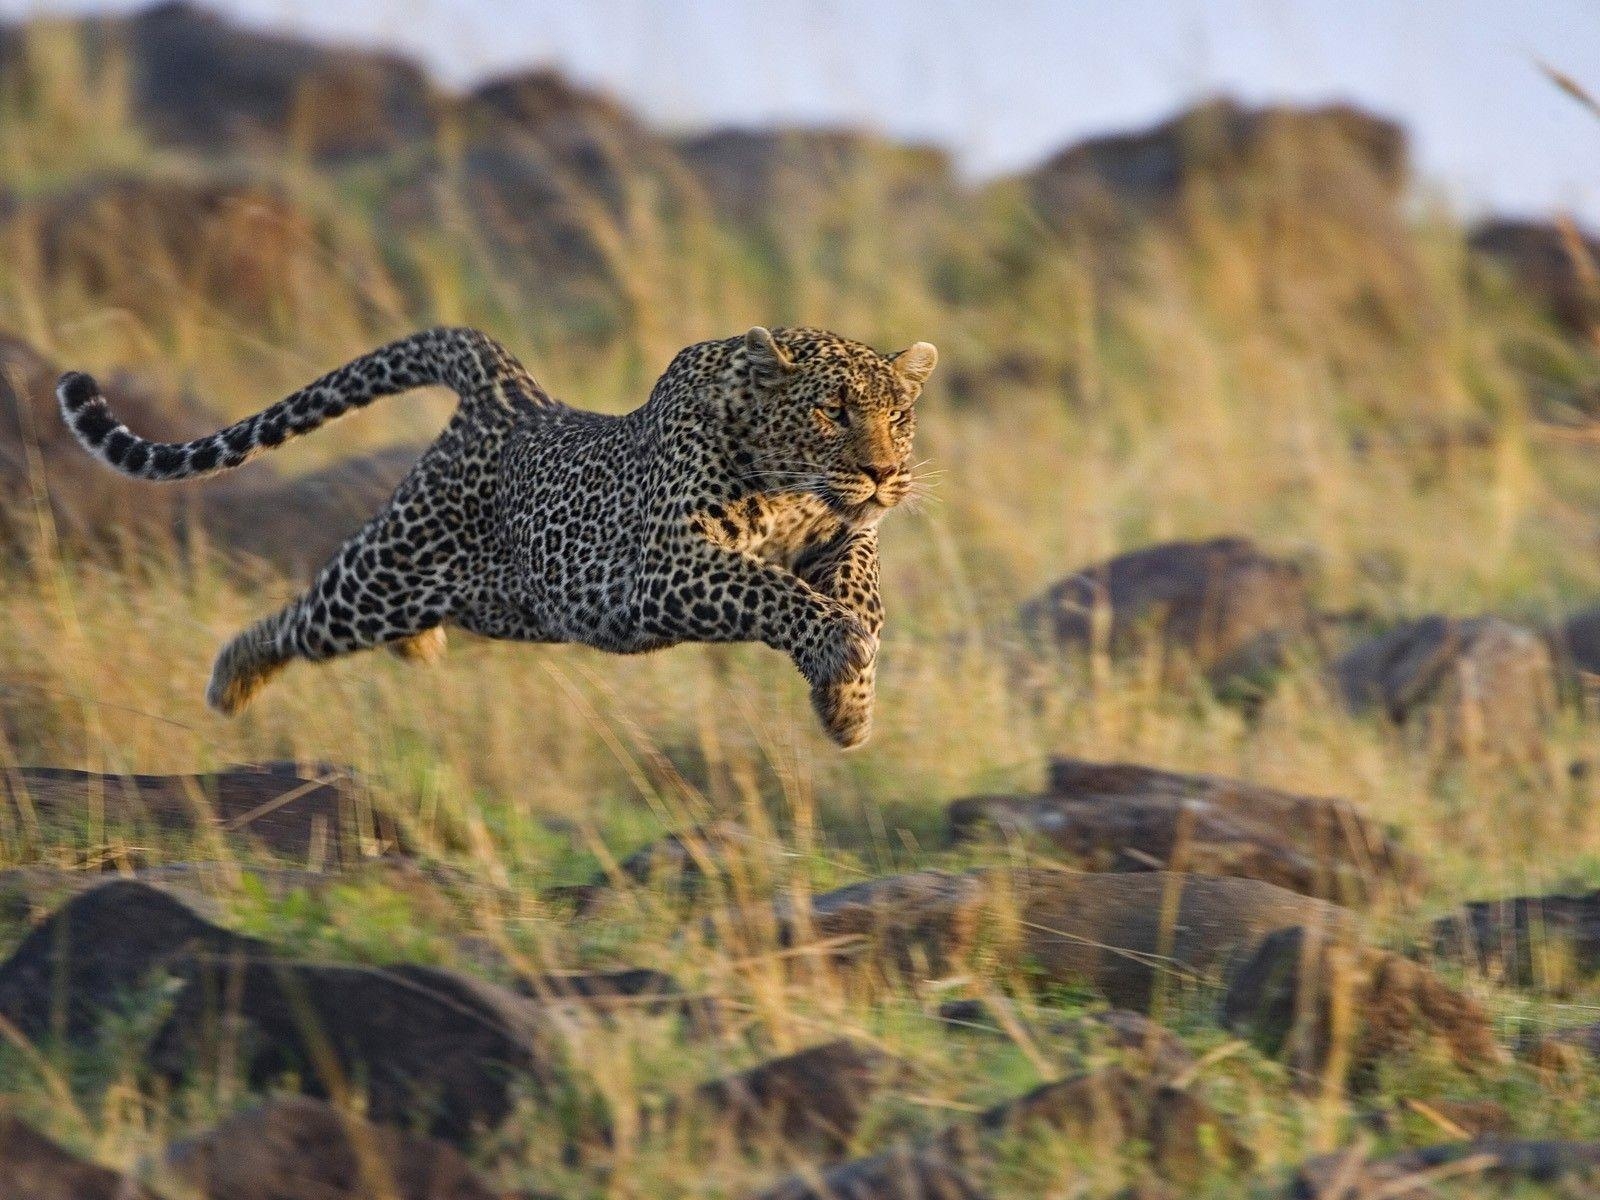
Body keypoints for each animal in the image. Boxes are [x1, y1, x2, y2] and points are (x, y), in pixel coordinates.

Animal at [56, 324, 934, 748]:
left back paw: (416, 649)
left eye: (899, 415)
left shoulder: (837, 535)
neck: (788, 485)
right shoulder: (661, 567)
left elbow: (861, 581)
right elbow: (765, 588)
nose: (886, 472)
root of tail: (509, 392)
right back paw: (232, 678)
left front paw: (848, 697)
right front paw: (837, 649)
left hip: (500, 602)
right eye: (832, 411)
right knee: (301, 617)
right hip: (384, 575)